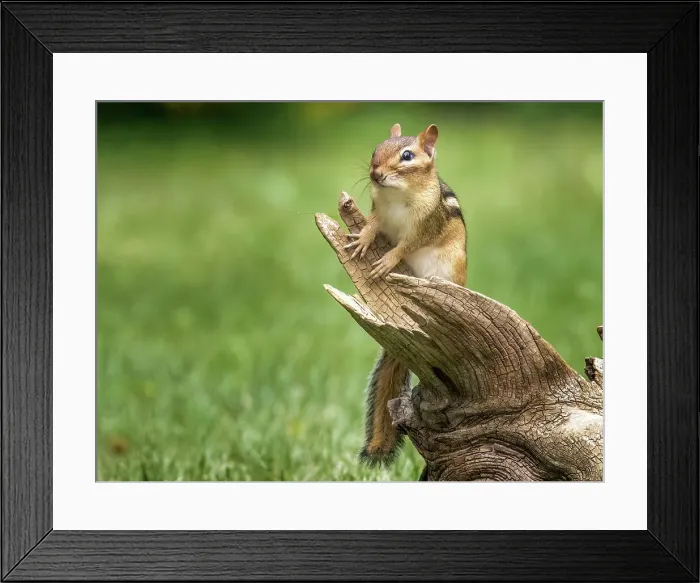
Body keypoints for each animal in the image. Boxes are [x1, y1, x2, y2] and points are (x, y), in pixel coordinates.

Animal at [344, 123, 467, 468]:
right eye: (375, 149)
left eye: (407, 156)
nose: (375, 174)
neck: (398, 195)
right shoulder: (379, 211)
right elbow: (373, 224)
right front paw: (364, 239)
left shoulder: (425, 226)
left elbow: (406, 245)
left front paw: (388, 260)